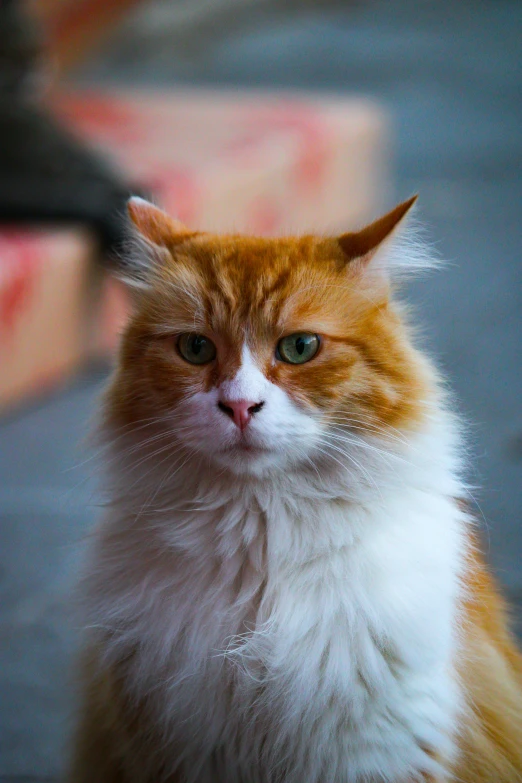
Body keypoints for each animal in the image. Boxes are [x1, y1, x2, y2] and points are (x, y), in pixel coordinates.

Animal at [69, 198, 520, 783]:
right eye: (195, 348)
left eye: (300, 347)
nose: (240, 407)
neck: (259, 545)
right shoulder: (168, 739)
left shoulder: (376, 748)